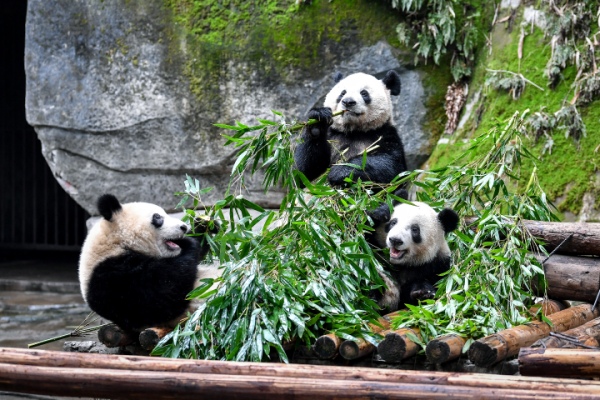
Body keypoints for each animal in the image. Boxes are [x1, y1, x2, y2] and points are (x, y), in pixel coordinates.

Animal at [78, 194, 219, 334]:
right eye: (158, 217)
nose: (183, 227)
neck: (116, 243)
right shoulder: (112, 278)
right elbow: (161, 296)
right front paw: (188, 244)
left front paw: (203, 224)